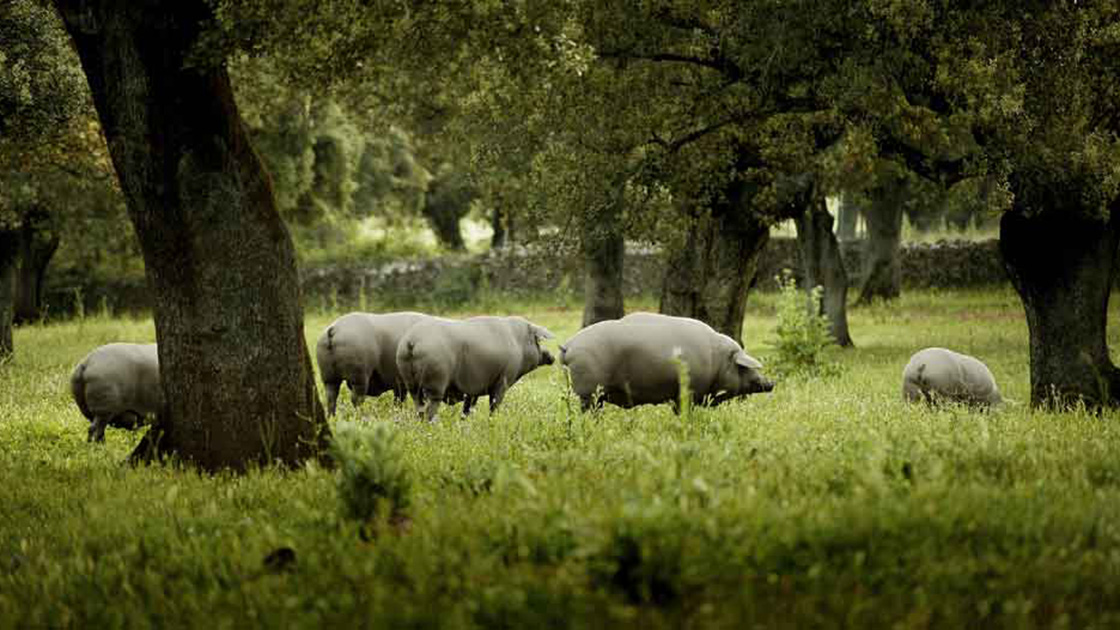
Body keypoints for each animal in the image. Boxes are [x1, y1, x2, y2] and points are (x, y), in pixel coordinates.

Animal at [396, 313, 557, 421]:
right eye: (538, 342)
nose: (552, 356)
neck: (518, 343)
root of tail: (411, 341)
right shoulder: (503, 380)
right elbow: (494, 405)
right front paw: (493, 422)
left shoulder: (473, 390)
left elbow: (467, 409)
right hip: (436, 382)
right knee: (430, 409)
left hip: (411, 383)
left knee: (419, 407)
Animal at [557, 311, 770, 410]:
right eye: (744, 367)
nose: (771, 383)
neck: (716, 361)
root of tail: (568, 346)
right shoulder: (688, 393)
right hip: (589, 392)